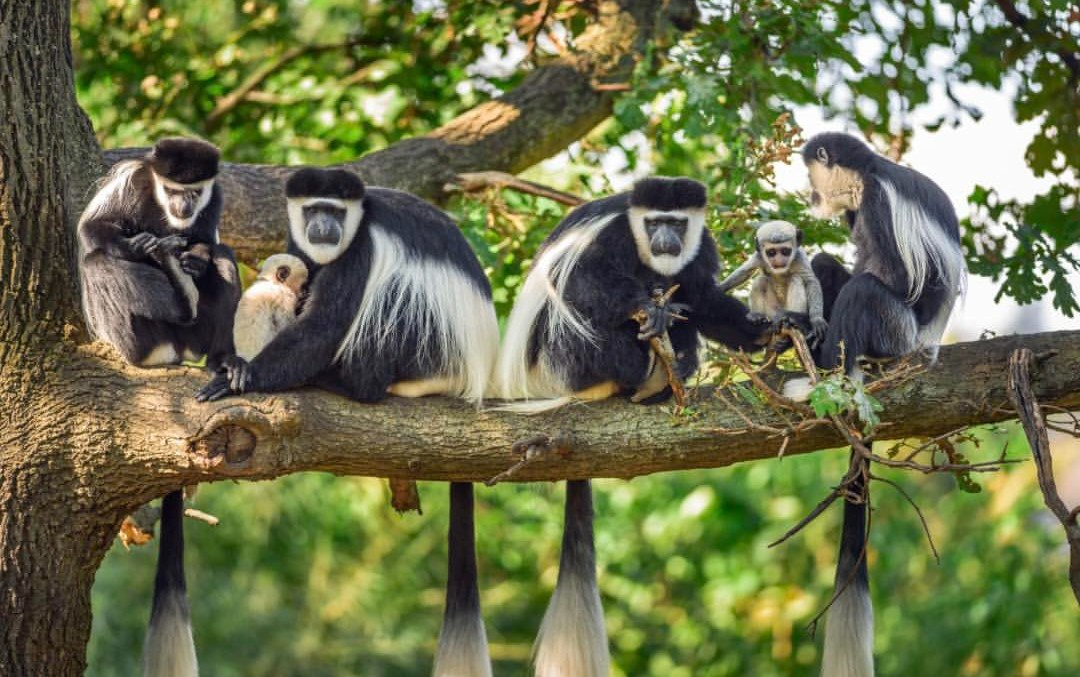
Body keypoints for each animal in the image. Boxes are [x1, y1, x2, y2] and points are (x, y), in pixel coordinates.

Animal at [78, 137, 240, 370]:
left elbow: (206, 241)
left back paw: (221, 359)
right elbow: (92, 225)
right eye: (172, 191)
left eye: (195, 192)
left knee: (222, 253)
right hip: (144, 339)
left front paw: (197, 259)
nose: (184, 207)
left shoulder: (215, 198)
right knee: (95, 261)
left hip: (197, 335)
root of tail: (176, 349)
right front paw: (134, 247)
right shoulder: (132, 181)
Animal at [494, 177, 771, 676]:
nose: (665, 240)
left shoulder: (700, 249)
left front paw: (763, 329)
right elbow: (582, 283)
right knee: (581, 314)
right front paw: (646, 305)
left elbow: (702, 298)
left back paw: (671, 369)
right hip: (566, 359)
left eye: (676, 223)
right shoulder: (611, 238)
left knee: (683, 307)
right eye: (655, 221)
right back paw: (642, 366)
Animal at [786, 132, 966, 677]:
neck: (867, 176)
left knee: (868, 290)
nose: (810, 197)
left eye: (810, 175)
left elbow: (893, 274)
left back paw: (828, 369)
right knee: (828, 267)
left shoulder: (880, 206)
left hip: (896, 330)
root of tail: (926, 344)